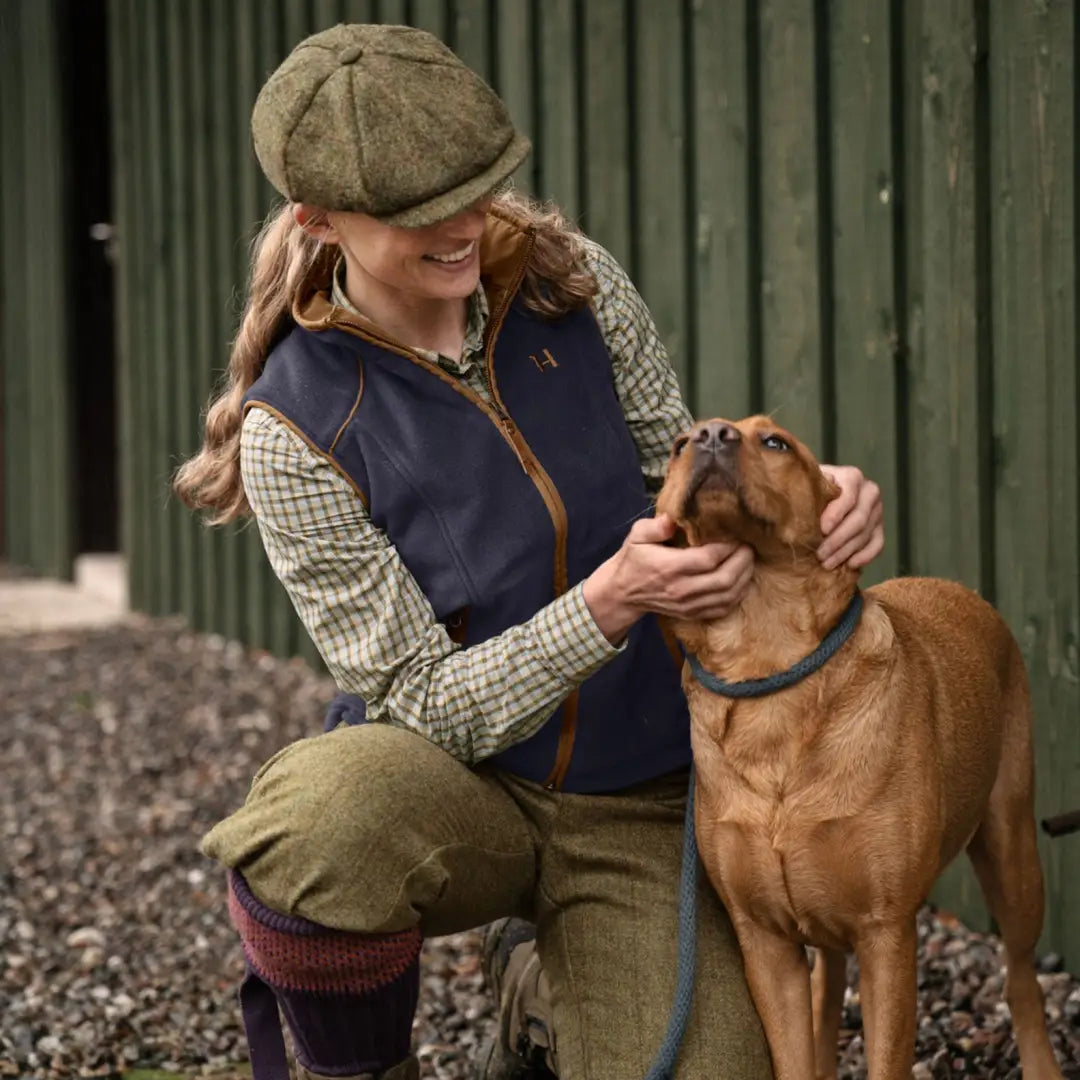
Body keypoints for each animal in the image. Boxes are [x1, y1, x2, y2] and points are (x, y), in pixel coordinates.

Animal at [652, 414, 1058, 1080]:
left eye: (775, 442)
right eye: (679, 447)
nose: (709, 433)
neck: (769, 670)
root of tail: (960, 589)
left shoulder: (887, 932)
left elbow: (887, 1056)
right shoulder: (764, 940)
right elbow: (794, 1053)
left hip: (1013, 851)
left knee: (1021, 978)